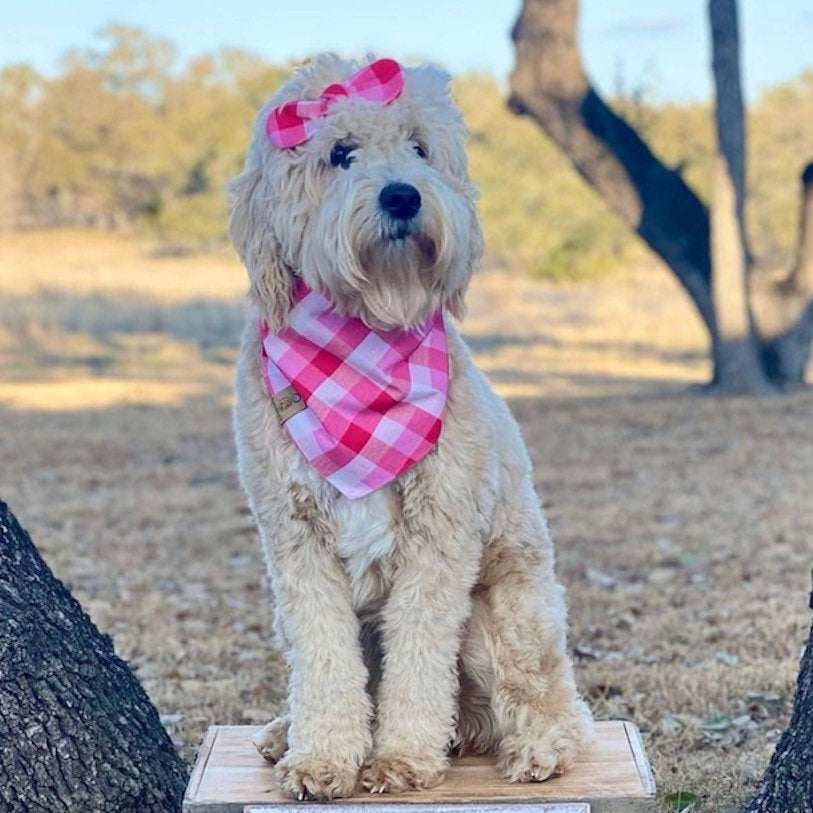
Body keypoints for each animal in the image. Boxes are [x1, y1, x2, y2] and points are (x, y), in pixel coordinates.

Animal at [227, 55, 588, 800]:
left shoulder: (440, 537)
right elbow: (324, 660)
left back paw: (536, 746)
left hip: (507, 612)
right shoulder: (296, 541)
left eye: (420, 148)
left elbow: (419, 657)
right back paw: (283, 730)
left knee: (542, 697)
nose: (402, 196)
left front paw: (399, 758)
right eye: (339, 153)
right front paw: (321, 759)